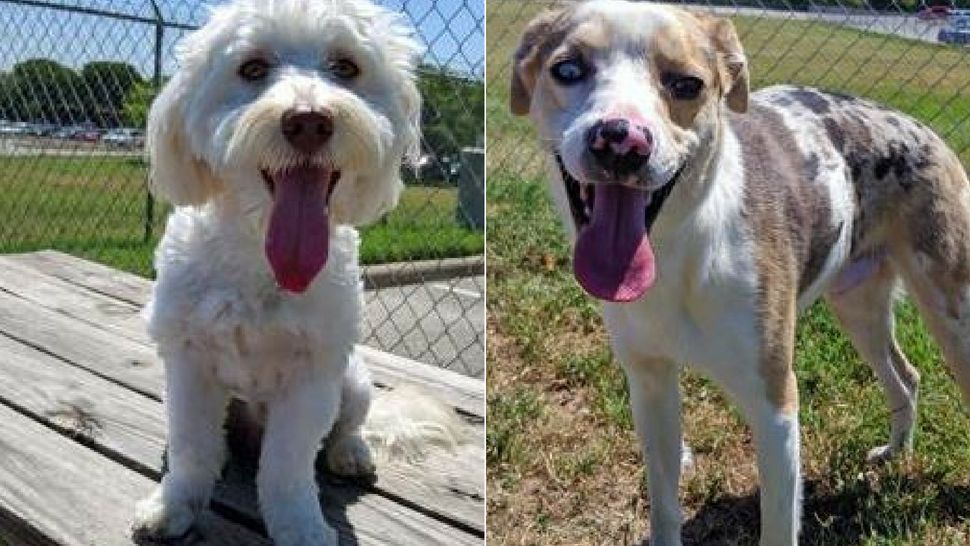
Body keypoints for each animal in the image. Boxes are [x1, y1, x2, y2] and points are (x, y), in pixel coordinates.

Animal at [130, 2, 452, 540]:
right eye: (252, 68)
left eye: (346, 67)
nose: (308, 121)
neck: (263, 258)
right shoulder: (189, 361)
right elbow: (193, 448)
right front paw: (173, 506)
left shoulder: (312, 377)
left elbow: (286, 466)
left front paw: (300, 527)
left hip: (353, 379)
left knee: (350, 425)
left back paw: (350, 452)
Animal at [506, 1, 968, 544]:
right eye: (567, 69)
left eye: (687, 84)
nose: (621, 142)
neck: (678, 251)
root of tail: (921, 128)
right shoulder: (650, 385)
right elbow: (665, 506)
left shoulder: (775, 405)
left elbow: (778, 521)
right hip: (858, 308)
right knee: (907, 376)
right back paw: (896, 453)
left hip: (951, 313)